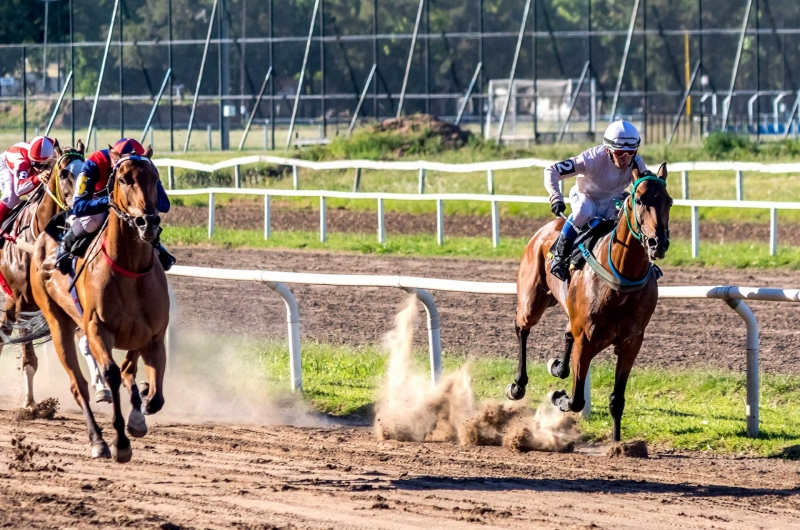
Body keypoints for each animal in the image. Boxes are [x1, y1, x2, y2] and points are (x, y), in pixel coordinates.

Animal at [0, 139, 110, 404]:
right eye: (63, 173)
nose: (83, 205)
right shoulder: (23, 303)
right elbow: (29, 359)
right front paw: (31, 403)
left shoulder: (70, 297)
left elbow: (86, 339)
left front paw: (101, 387)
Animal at [25, 146, 169, 460]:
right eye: (124, 179)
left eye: (155, 177)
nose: (148, 222)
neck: (130, 268)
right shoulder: (97, 329)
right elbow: (113, 374)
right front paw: (120, 442)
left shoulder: (153, 335)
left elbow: (152, 392)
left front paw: (139, 413)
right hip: (58, 323)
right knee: (78, 385)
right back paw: (98, 441)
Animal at [510, 163, 672, 440]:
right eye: (639, 200)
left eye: (669, 201)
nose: (657, 243)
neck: (622, 276)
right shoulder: (586, 340)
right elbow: (576, 400)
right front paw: (559, 397)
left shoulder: (631, 343)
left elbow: (617, 401)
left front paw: (617, 444)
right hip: (532, 300)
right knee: (522, 327)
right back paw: (518, 385)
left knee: (566, 334)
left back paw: (558, 367)